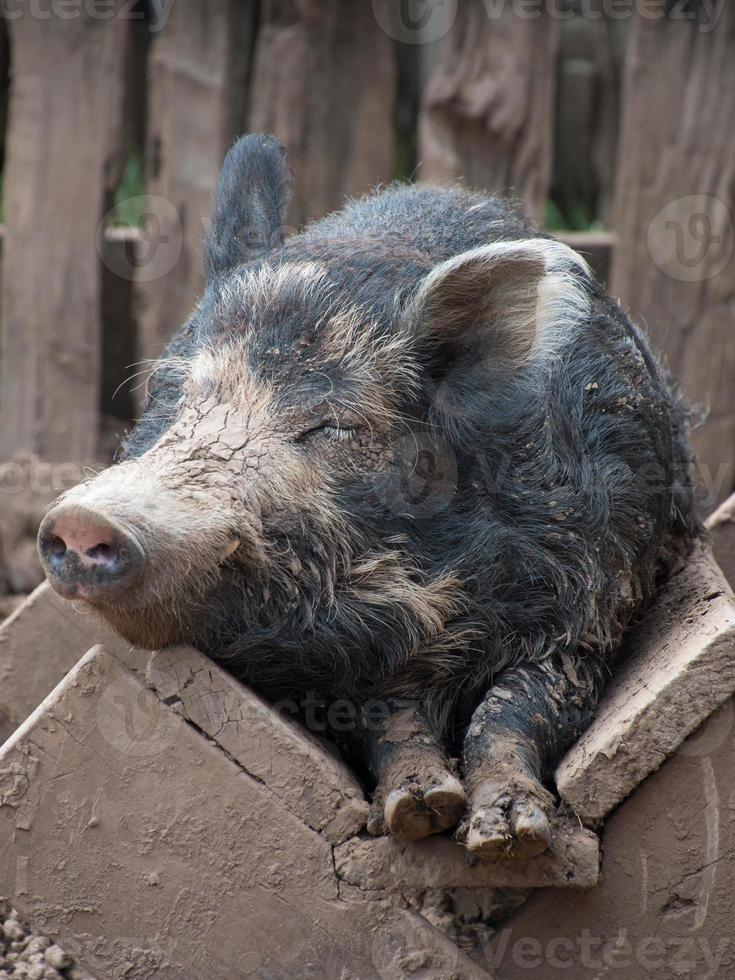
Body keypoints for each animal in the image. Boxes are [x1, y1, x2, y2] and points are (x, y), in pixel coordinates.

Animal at [36, 134, 700, 852]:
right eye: (174, 393)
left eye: (329, 425)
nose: (83, 517)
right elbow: (391, 719)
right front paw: (420, 809)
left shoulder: (591, 610)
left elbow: (515, 709)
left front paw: (509, 836)